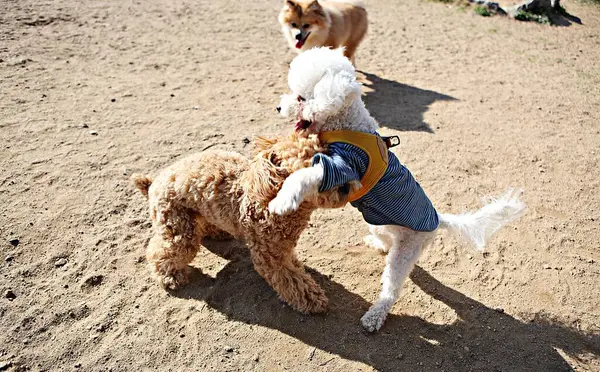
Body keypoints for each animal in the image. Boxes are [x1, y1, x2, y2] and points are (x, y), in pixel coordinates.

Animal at [268, 47, 524, 332]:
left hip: (406, 251)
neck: (346, 124)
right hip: (379, 224)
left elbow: (304, 175)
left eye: (301, 97)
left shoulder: (346, 166)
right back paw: (377, 244)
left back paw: (374, 316)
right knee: (386, 241)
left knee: (391, 289)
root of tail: (437, 219)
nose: (278, 107)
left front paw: (282, 200)